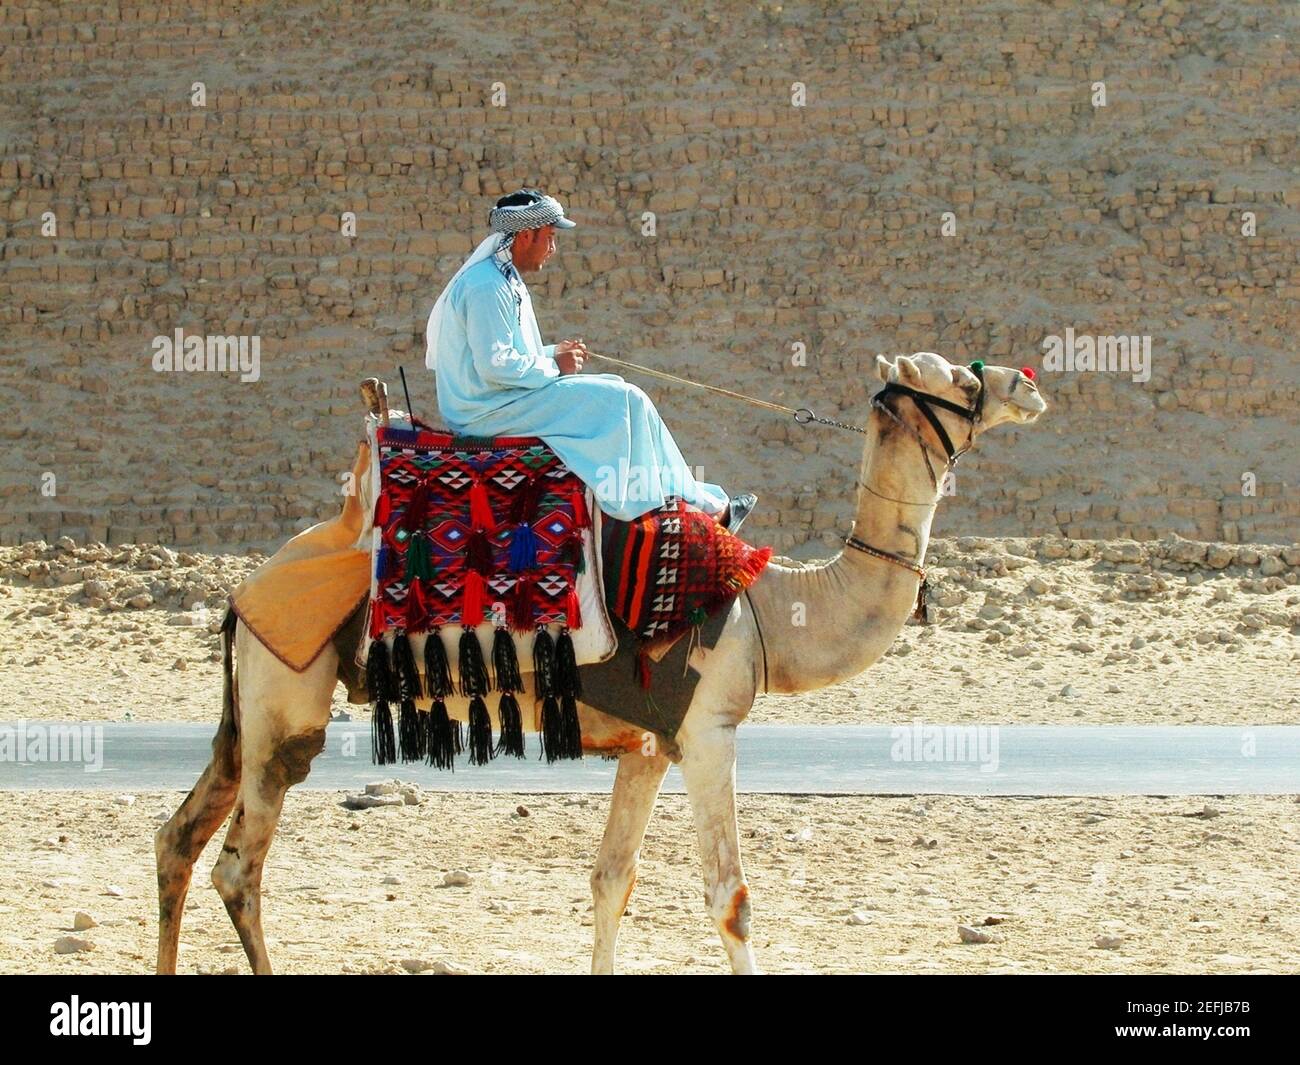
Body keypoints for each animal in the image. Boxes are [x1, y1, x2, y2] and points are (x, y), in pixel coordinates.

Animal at [155, 351, 1046, 975]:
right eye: (957, 375)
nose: (1028, 382)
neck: (770, 609)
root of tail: (245, 591)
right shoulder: (709, 733)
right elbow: (731, 898)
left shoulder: (648, 743)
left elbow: (611, 879)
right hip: (286, 705)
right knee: (239, 867)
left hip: (247, 715)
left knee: (179, 838)